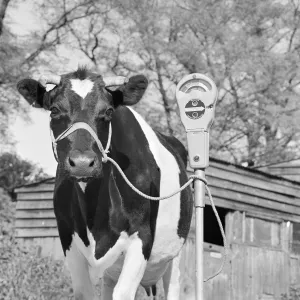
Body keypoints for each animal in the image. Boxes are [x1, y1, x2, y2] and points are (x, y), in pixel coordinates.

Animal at [17, 68, 192, 300]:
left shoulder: (142, 237)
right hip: (112, 272)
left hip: (175, 255)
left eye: (108, 112)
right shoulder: (67, 237)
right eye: (54, 110)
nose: (82, 163)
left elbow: (124, 293)